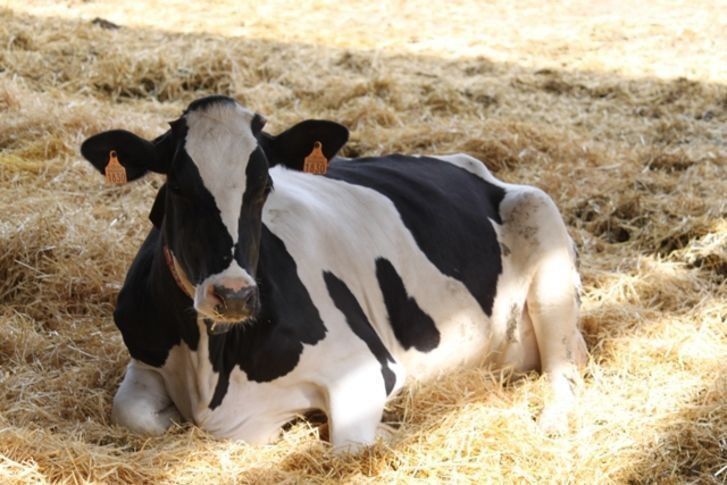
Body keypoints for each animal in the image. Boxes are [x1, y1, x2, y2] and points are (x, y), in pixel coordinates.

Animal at [81, 94, 592, 450]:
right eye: (178, 189)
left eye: (264, 187)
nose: (234, 295)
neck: (214, 367)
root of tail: (464, 163)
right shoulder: (144, 356)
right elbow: (133, 413)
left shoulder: (366, 368)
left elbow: (348, 445)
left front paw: (387, 434)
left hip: (542, 225)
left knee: (565, 367)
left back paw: (555, 419)